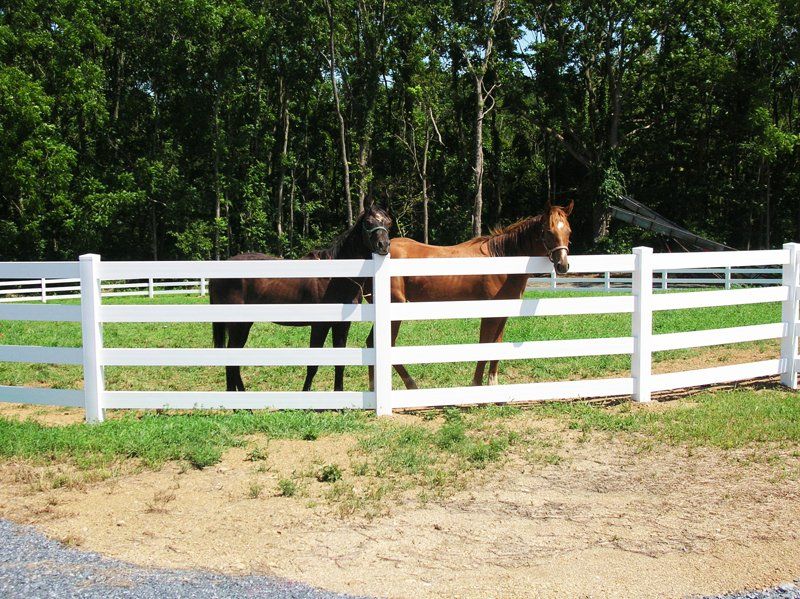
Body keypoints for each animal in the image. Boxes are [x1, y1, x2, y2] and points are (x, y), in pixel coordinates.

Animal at [210, 204, 392, 392]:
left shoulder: (342, 325)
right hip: (237, 324)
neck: (335, 277)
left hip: (244, 324)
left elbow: (339, 363)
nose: (384, 246)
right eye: (368, 222)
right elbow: (313, 365)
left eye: (388, 222)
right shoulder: (320, 325)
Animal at [368, 200, 573, 389]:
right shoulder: (489, 315)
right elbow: (484, 346)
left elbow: (497, 345)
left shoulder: (503, 313)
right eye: (549, 231)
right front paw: (476, 385)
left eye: (568, 232)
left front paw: (493, 385)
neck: (502, 259)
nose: (563, 265)